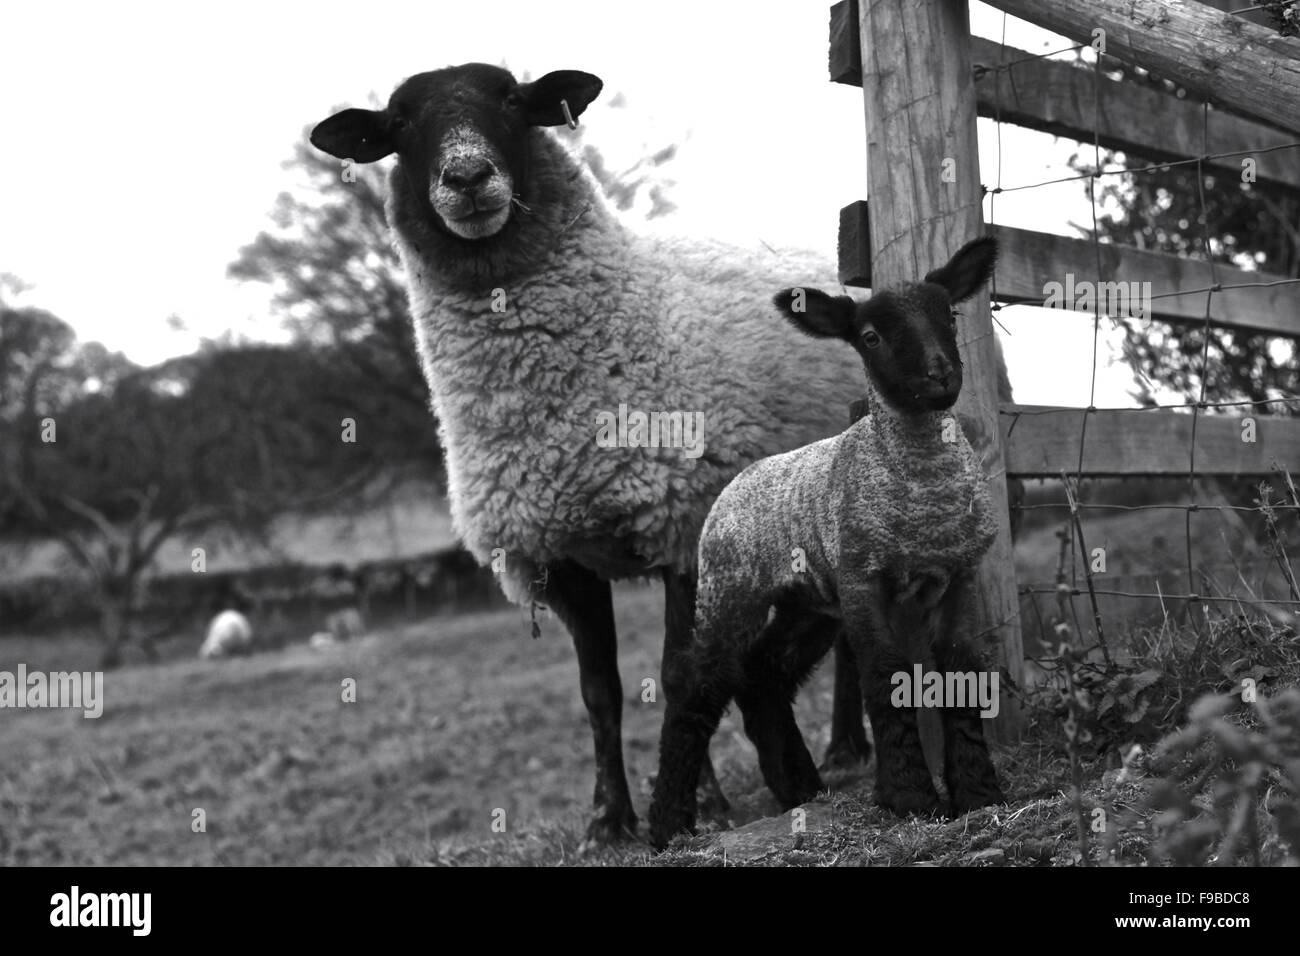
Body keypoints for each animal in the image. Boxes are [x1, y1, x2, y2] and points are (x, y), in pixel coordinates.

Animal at [650, 235, 1003, 848]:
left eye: (951, 316)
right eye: (871, 336)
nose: (940, 376)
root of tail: (738, 479)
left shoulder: (959, 574)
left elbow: (960, 666)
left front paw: (979, 794)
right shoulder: (864, 579)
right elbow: (884, 674)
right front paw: (911, 799)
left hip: (808, 600)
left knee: (764, 674)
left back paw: (800, 789)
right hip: (729, 588)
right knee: (698, 683)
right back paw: (669, 824)